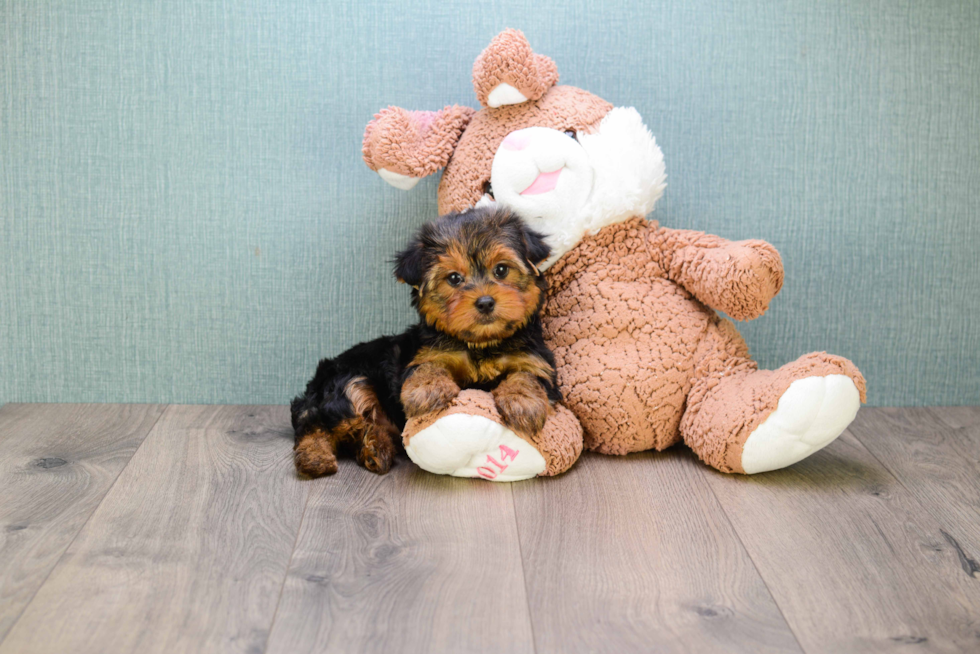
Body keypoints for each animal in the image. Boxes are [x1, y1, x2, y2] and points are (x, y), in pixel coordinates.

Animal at [290, 208, 560, 480]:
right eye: (454, 278)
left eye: (502, 270)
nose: (485, 302)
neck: (480, 343)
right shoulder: (426, 354)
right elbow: (427, 367)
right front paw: (426, 390)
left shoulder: (535, 360)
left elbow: (527, 376)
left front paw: (523, 402)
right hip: (345, 383)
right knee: (315, 423)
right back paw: (316, 458)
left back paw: (375, 449)